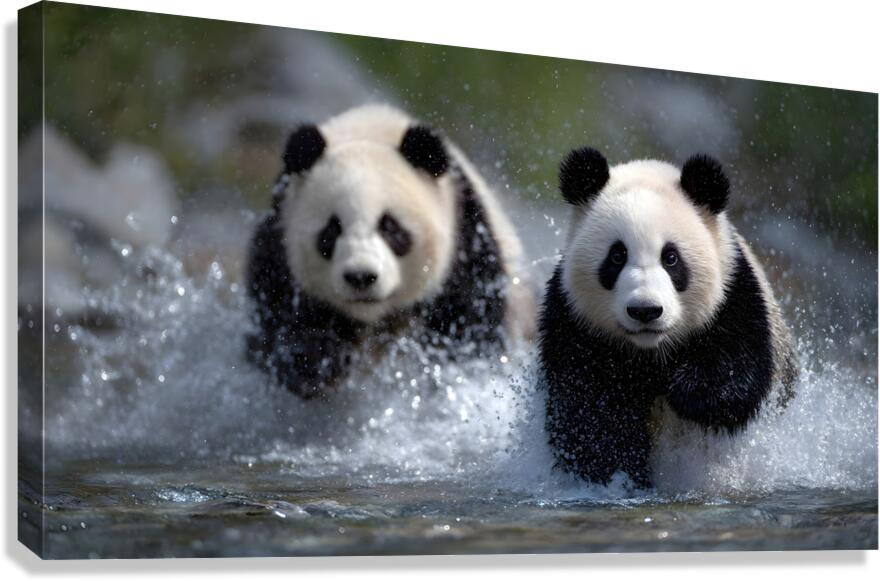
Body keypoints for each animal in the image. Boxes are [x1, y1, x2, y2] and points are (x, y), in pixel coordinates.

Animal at [246, 105, 534, 398]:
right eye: (331, 231)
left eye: (390, 227)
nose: (361, 277)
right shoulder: (278, 245)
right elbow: (282, 321)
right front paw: (318, 362)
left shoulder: (466, 238)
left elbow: (469, 323)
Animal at [539, 147, 799, 487]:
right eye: (617, 256)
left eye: (671, 258)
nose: (645, 310)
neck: (651, 352)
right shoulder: (575, 322)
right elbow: (587, 411)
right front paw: (621, 476)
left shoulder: (735, 295)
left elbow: (735, 375)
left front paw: (686, 391)